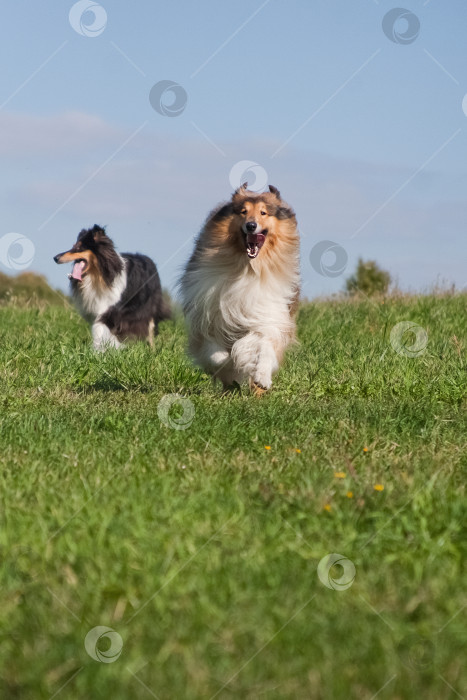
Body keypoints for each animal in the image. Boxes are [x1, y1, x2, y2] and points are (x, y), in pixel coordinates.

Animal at [179, 185, 300, 394]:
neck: (247, 268)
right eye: (243, 211)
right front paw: (231, 364)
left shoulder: (269, 318)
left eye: (263, 212)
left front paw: (260, 375)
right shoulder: (208, 322)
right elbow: (217, 357)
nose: (251, 225)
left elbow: (264, 349)